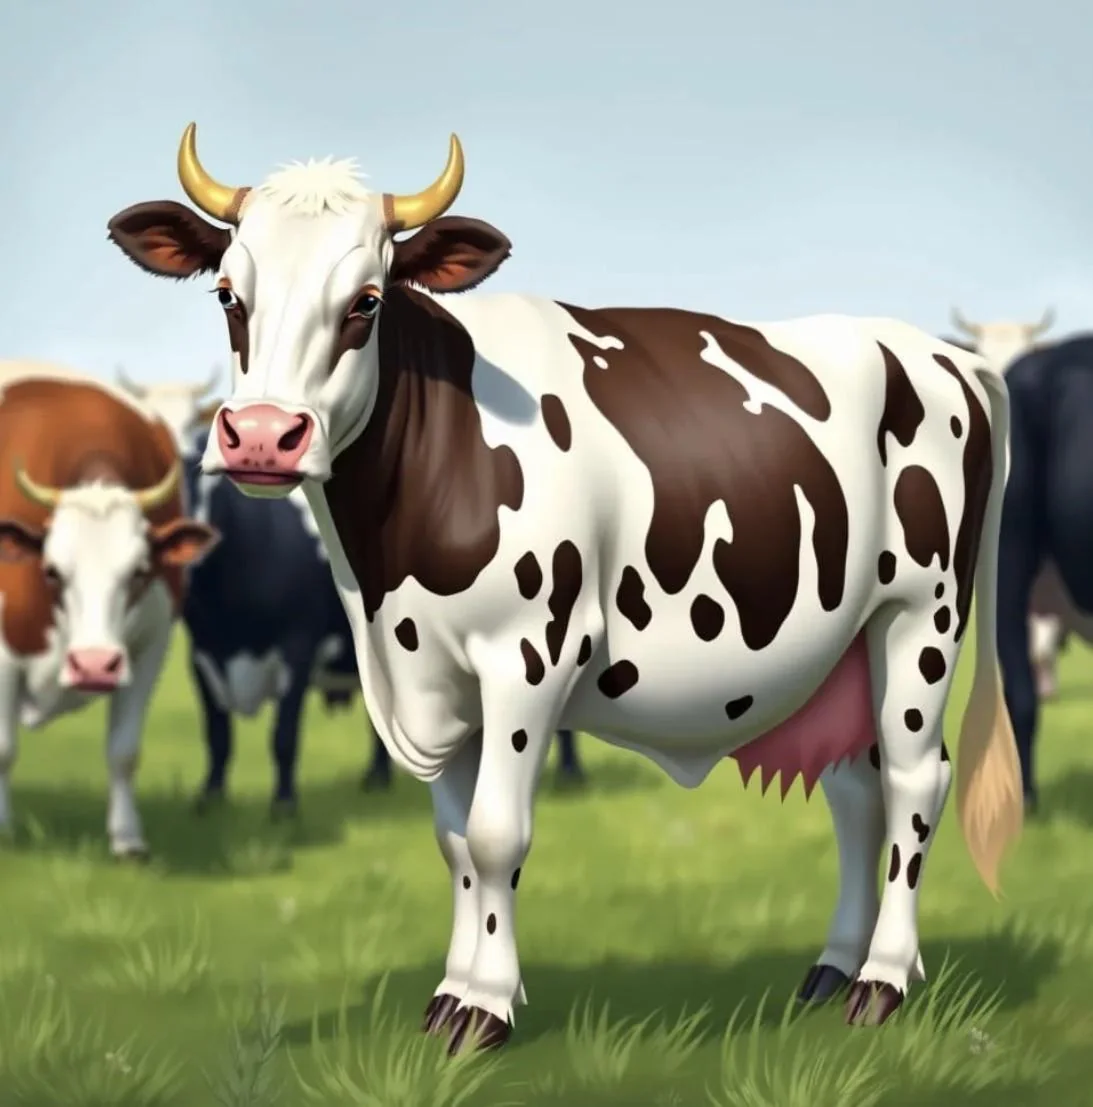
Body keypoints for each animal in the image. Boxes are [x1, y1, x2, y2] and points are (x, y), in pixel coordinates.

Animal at [0, 362, 219, 856]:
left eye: (139, 571)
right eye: (52, 571)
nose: (95, 664)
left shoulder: (152, 645)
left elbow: (124, 750)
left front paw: (127, 838)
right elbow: (3, 750)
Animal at [106, 124, 1023, 1052]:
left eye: (365, 301)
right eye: (229, 293)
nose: (262, 437)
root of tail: (939, 351)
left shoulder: (526, 656)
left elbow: (494, 833)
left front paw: (484, 1008)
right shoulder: (431, 671)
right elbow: (453, 840)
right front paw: (453, 992)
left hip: (918, 616)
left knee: (913, 781)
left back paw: (883, 979)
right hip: (844, 646)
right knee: (854, 788)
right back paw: (836, 966)